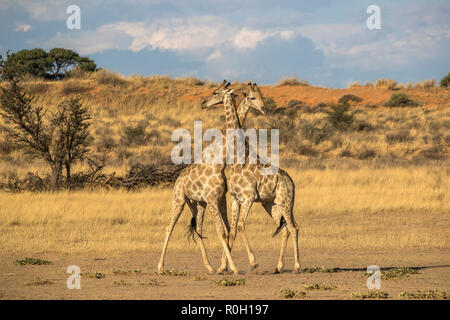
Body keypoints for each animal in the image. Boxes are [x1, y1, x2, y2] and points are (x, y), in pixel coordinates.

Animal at [158, 80, 243, 276]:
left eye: (215, 92)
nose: (203, 103)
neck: (220, 162)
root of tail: (178, 180)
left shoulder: (219, 199)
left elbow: (227, 230)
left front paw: (224, 266)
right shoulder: (212, 200)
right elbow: (221, 232)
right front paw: (233, 267)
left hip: (197, 204)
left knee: (197, 228)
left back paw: (209, 267)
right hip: (179, 200)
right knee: (169, 227)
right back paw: (160, 267)